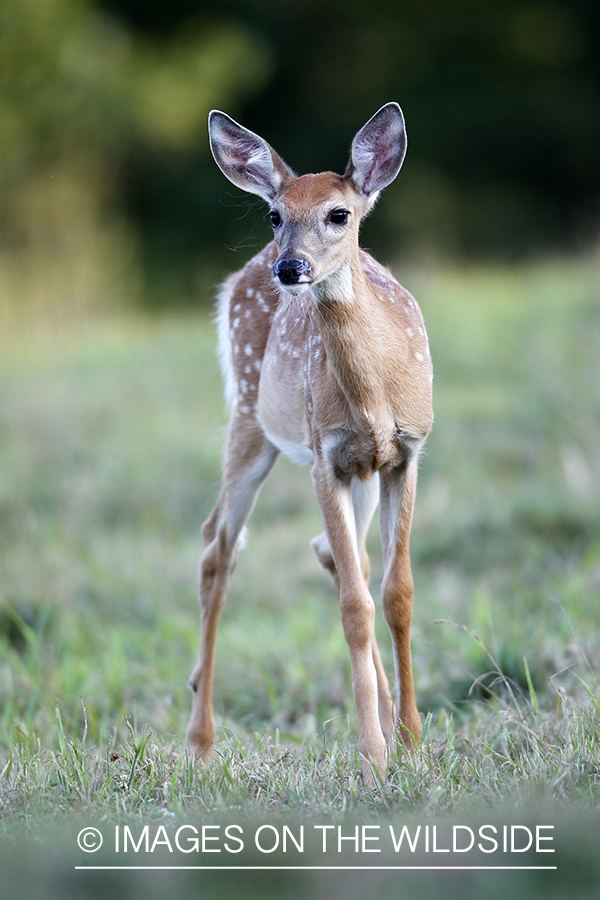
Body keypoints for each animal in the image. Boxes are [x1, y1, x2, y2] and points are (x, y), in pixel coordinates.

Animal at [186, 102, 433, 782]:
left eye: (339, 214)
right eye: (275, 214)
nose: (289, 267)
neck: (376, 395)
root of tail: (239, 276)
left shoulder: (406, 454)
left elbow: (396, 594)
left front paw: (412, 740)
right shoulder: (325, 457)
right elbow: (354, 607)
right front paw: (373, 754)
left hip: (354, 469)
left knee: (336, 554)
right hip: (250, 417)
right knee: (218, 547)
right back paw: (200, 738)